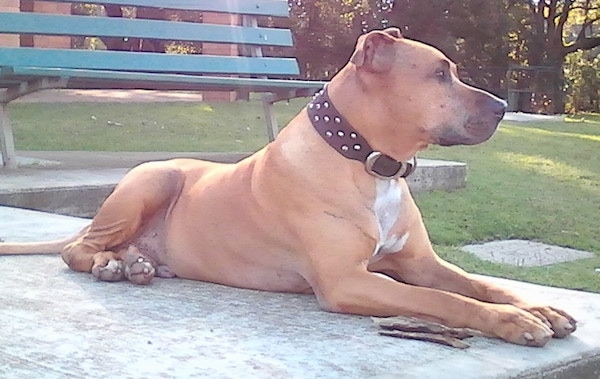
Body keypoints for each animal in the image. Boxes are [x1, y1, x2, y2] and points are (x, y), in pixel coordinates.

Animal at [2, 27, 580, 348]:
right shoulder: (349, 281)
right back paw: (109, 264)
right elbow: (443, 301)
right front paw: (514, 322)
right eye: (440, 74)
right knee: (78, 247)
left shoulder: (420, 262)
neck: (369, 164)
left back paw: (134, 263)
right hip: (153, 178)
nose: (503, 107)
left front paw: (538, 307)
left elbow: (477, 284)